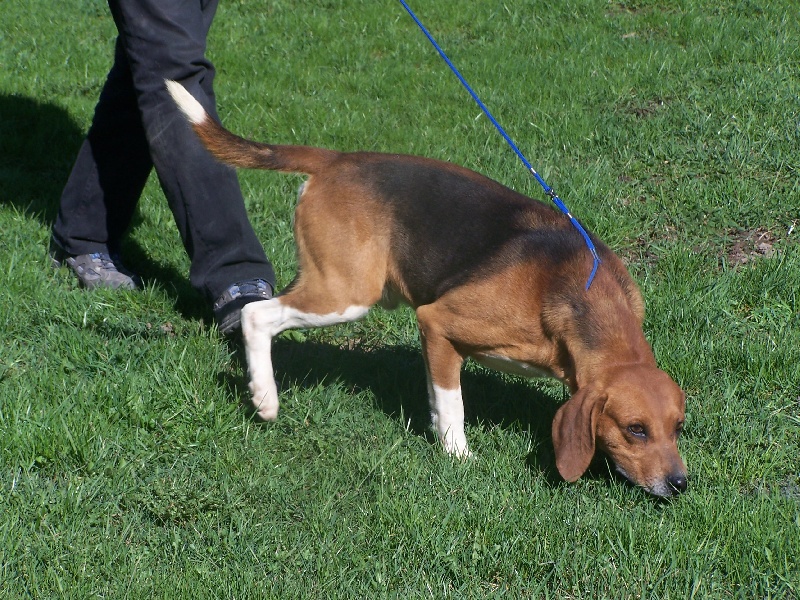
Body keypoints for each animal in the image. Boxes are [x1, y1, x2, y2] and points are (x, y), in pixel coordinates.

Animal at [167, 82, 688, 500]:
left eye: (678, 427)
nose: (681, 483)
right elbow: (451, 402)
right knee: (256, 315)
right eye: (635, 430)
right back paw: (265, 398)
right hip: (345, 294)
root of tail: (339, 159)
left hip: (325, 280)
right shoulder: (437, 323)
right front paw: (458, 456)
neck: (580, 295)